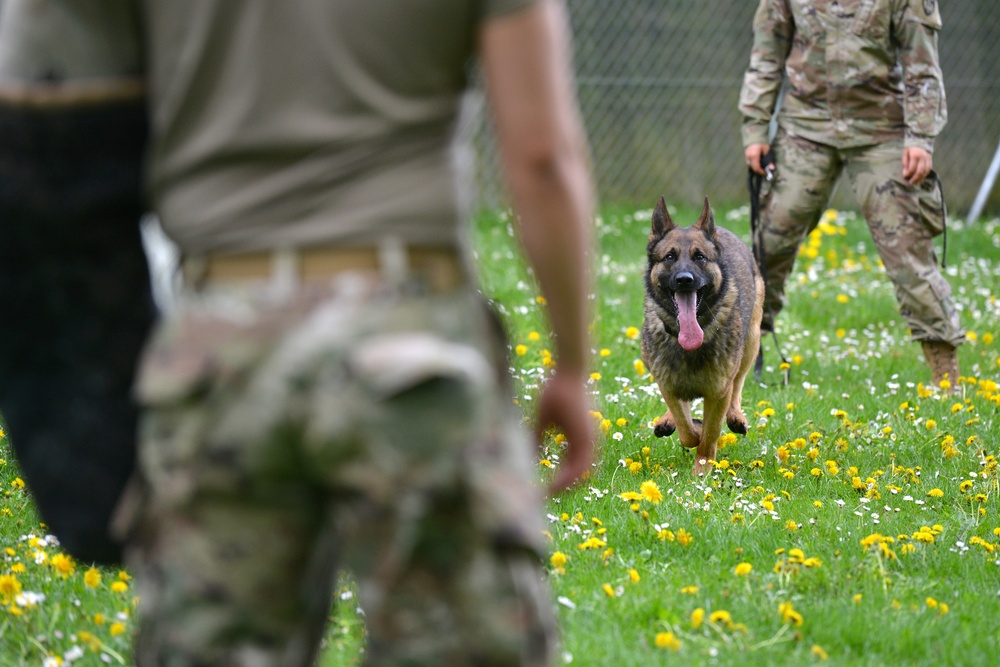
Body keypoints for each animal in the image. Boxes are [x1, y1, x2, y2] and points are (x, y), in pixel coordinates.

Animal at [644, 196, 760, 478]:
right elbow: (687, 430)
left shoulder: (719, 392)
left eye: (700, 257)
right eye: (670, 256)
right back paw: (668, 420)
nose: (684, 280)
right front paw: (688, 428)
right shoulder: (667, 384)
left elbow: (710, 433)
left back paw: (736, 415)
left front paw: (703, 468)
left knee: (739, 382)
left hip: (752, 342)